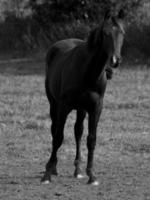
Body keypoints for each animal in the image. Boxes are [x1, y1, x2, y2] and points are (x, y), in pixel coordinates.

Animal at [41, 10, 125, 186]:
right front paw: (47, 175)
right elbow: (58, 137)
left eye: (122, 32)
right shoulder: (64, 106)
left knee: (77, 131)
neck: (87, 71)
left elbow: (91, 139)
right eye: (106, 33)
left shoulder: (96, 107)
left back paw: (77, 169)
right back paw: (53, 167)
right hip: (54, 104)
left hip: (81, 109)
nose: (115, 60)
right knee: (54, 129)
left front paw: (91, 175)